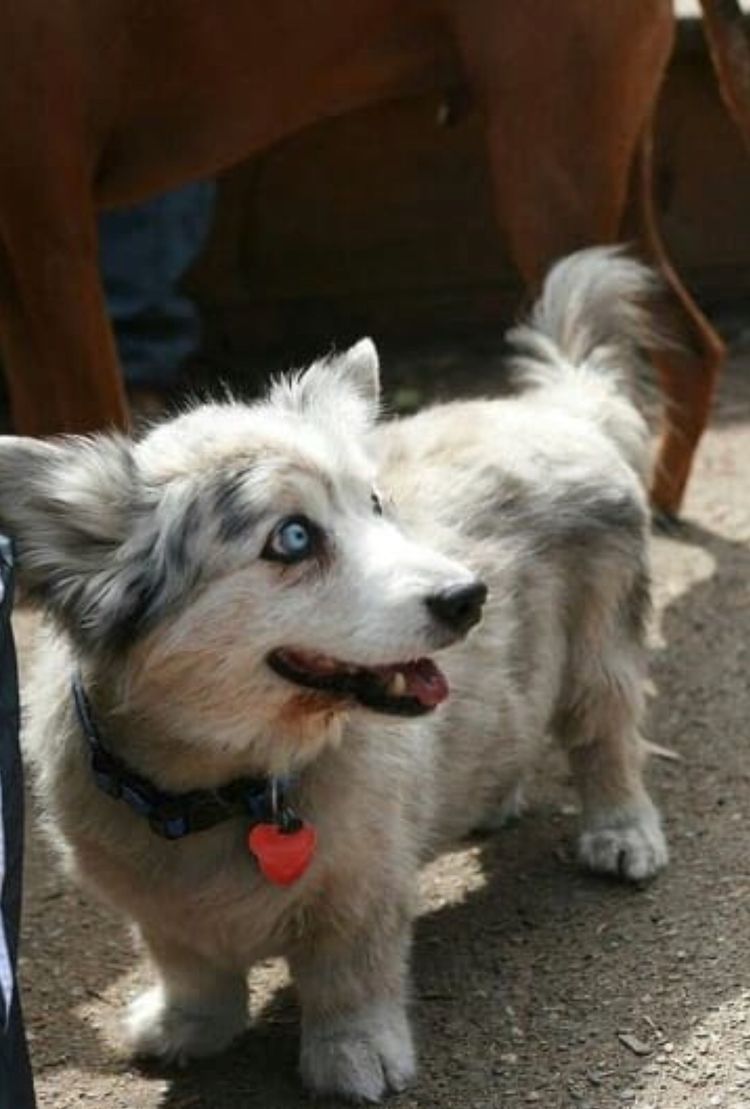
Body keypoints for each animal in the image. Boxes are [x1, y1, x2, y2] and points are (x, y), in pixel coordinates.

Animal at [1, 247, 670, 1104]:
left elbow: (350, 975)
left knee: (607, 741)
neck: (227, 787)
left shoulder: (362, 891)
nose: (469, 597)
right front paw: (189, 1025)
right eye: (292, 537)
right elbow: (189, 966)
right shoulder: (160, 911)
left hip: (599, 655)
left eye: (376, 504)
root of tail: (563, 408)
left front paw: (354, 1055)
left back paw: (622, 832)